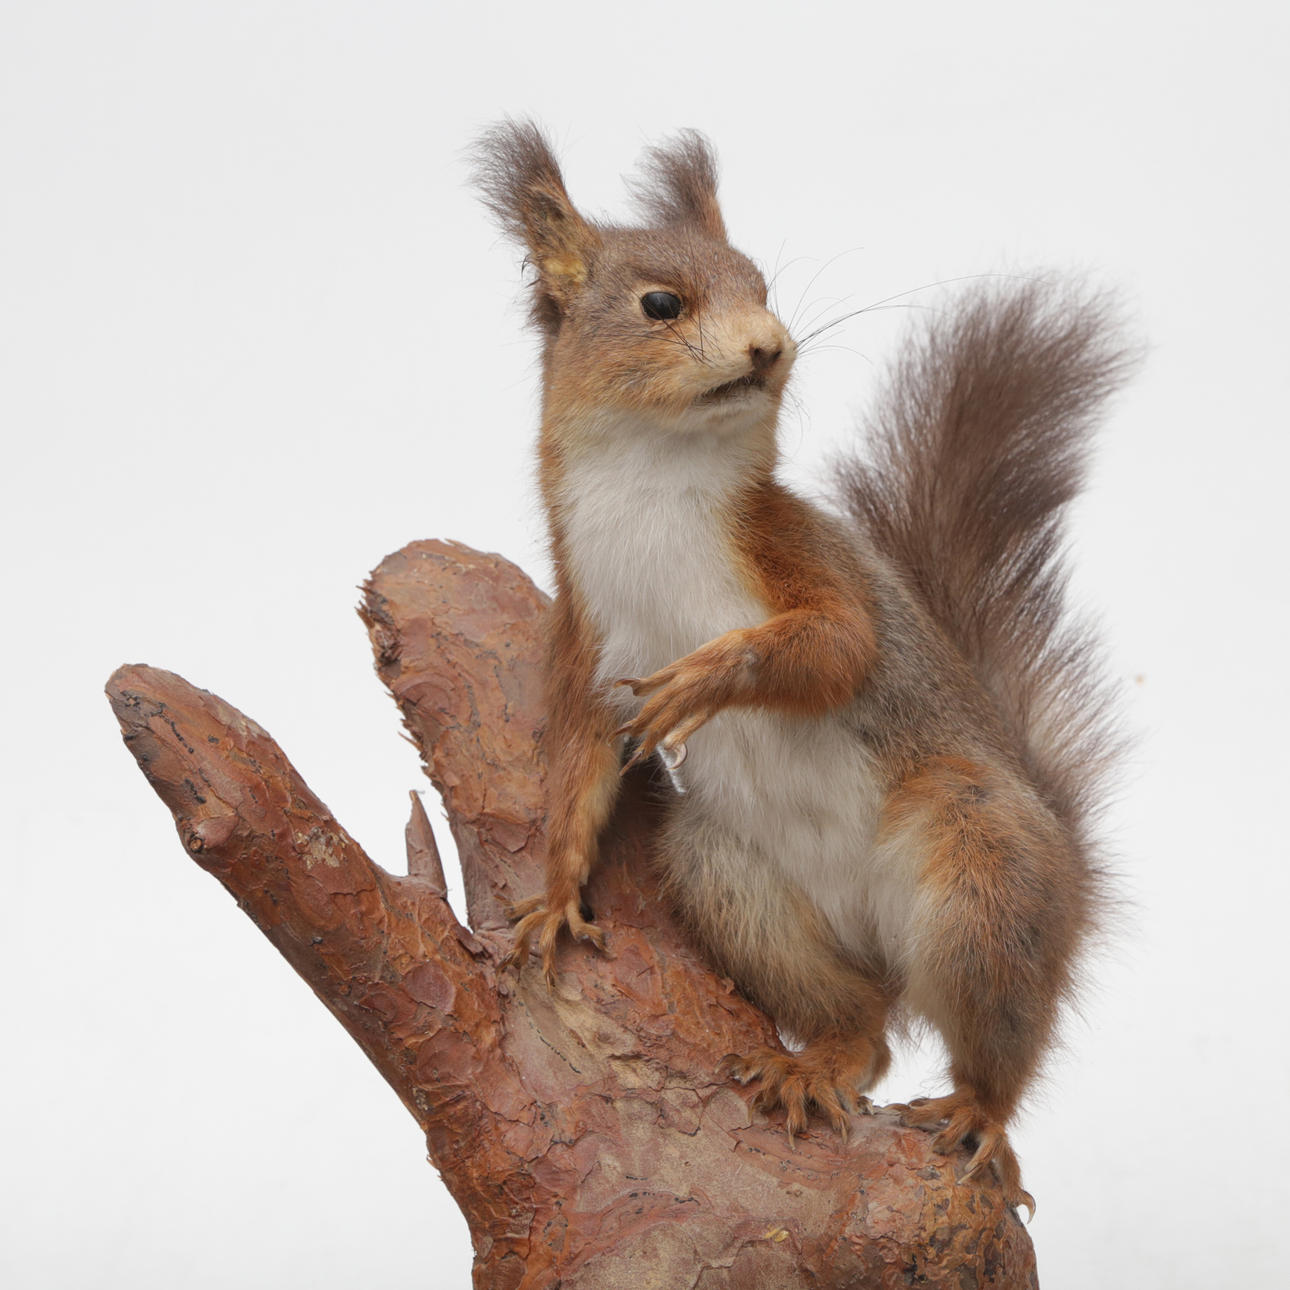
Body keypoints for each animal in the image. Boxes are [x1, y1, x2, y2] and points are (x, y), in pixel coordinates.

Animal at [473, 120, 1131, 1216]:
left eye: (762, 283)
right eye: (661, 304)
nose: (771, 346)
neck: (653, 483)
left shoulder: (796, 555)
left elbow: (839, 647)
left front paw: (708, 677)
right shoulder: (588, 629)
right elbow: (576, 761)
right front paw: (560, 895)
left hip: (983, 864)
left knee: (995, 1043)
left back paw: (979, 1113)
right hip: (729, 876)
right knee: (862, 1026)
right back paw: (821, 1058)